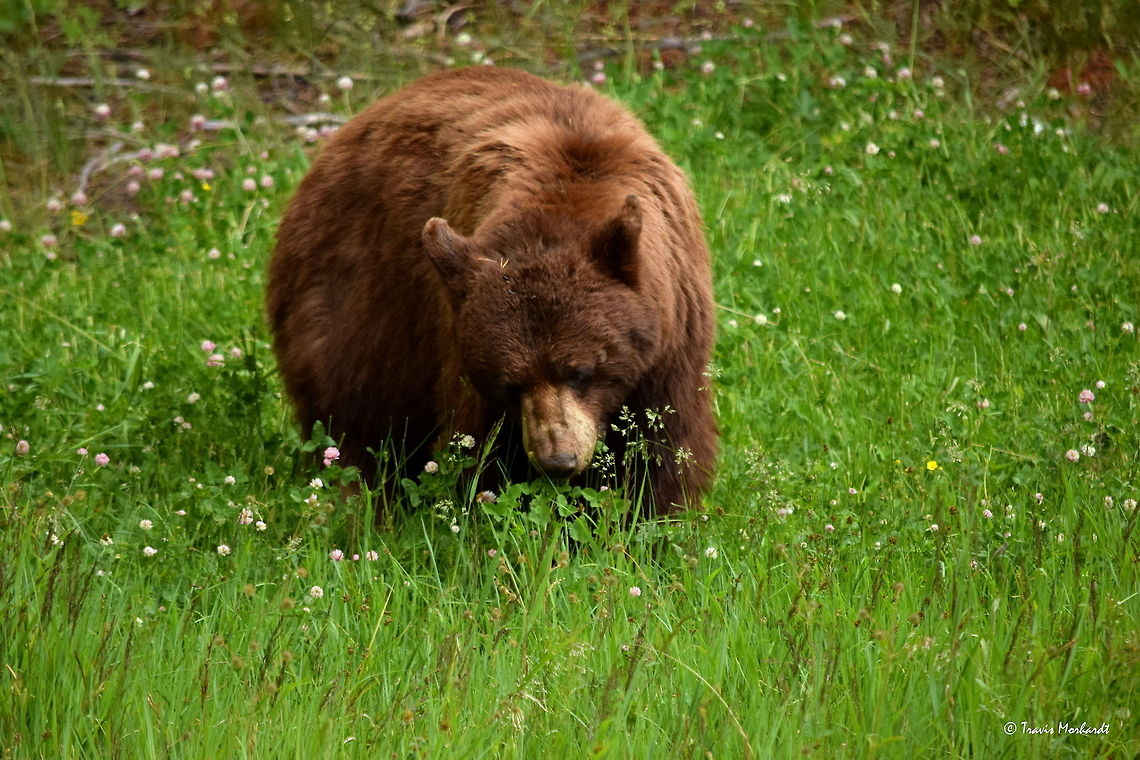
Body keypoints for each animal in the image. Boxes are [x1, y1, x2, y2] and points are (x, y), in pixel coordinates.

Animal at [267, 66, 716, 512]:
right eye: (509, 383)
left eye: (581, 371)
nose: (557, 459)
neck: (560, 209)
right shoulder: (456, 342)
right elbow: (483, 452)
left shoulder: (672, 336)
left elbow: (662, 444)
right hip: (353, 307)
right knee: (351, 420)